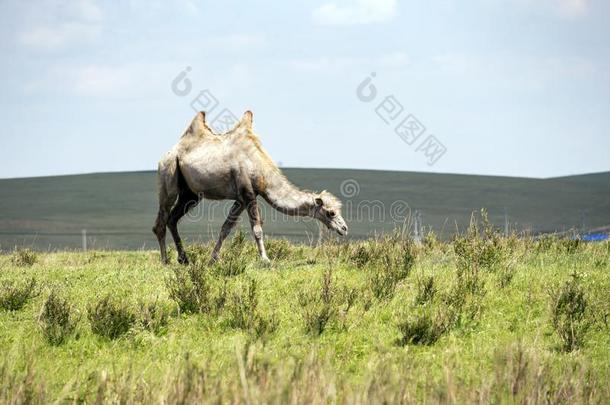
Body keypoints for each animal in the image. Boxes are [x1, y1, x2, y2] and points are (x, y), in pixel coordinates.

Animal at [152, 109, 346, 266]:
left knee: (172, 219)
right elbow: (257, 228)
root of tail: (167, 155)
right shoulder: (248, 192)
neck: (259, 167)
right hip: (169, 175)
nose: (344, 228)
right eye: (331, 213)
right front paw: (265, 259)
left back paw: (183, 259)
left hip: (190, 193)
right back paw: (165, 261)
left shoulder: (241, 198)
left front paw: (212, 259)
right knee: (161, 220)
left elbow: (226, 228)